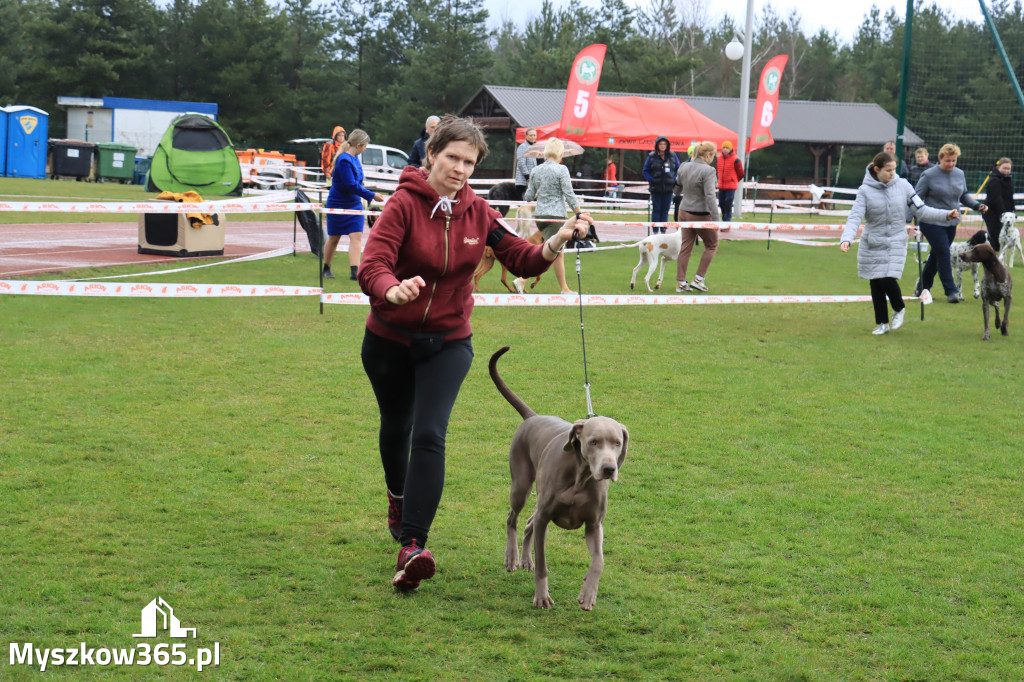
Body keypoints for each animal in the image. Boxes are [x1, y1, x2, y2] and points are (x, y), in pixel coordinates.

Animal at [485, 346, 622, 610]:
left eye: (618, 443)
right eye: (594, 442)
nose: (609, 468)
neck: (580, 477)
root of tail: (532, 416)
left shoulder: (594, 524)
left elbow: (599, 561)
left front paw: (588, 593)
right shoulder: (545, 517)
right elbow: (543, 564)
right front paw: (542, 597)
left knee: (528, 522)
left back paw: (525, 560)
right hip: (521, 486)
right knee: (513, 518)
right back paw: (512, 557)